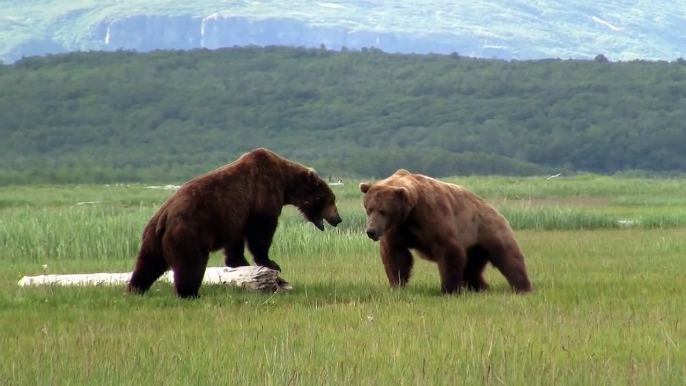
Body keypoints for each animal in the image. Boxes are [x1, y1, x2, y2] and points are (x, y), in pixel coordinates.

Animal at [127, 148, 342, 298]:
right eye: (330, 200)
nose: (338, 219)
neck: (285, 183)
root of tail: (164, 217)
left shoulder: (235, 216)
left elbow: (236, 239)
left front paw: (239, 262)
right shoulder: (264, 193)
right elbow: (261, 230)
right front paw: (270, 262)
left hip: (152, 237)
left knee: (147, 263)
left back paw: (135, 288)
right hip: (189, 231)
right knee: (190, 263)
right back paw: (190, 293)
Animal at [358, 169, 536, 296]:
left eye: (383, 210)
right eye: (369, 209)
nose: (371, 231)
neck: (409, 213)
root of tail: (496, 210)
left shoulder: (431, 216)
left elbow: (448, 249)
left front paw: (448, 290)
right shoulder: (398, 229)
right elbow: (396, 255)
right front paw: (397, 284)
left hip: (488, 231)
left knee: (509, 258)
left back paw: (522, 287)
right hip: (473, 247)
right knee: (471, 269)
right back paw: (482, 287)